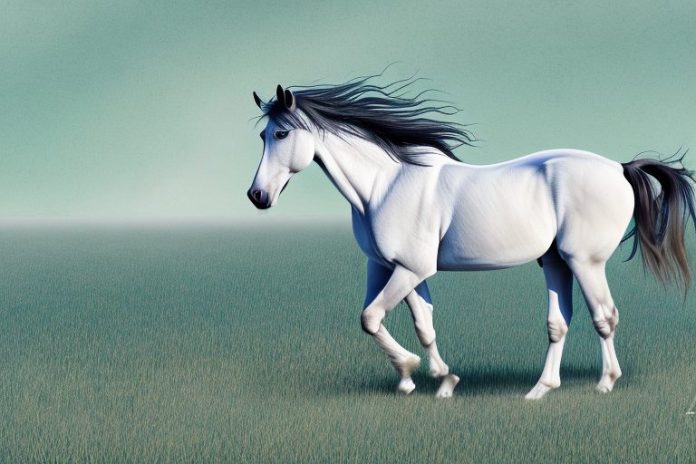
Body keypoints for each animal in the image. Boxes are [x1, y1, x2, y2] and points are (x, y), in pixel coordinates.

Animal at [246, 76, 696, 399]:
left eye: (282, 134)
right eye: (263, 136)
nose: (257, 196)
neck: (384, 185)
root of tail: (619, 167)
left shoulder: (410, 269)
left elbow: (371, 318)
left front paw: (411, 370)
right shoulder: (389, 267)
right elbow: (419, 324)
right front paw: (436, 381)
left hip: (584, 261)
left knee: (604, 316)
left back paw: (606, 383)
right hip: (554, 261)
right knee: (559, 322)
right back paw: (540, 390)